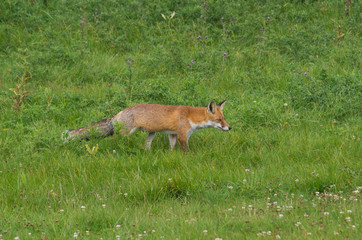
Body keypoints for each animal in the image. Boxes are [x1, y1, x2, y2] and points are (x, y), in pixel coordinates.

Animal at [62, 100, 230, 151]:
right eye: (219, 120)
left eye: (224, 119)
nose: (230, 128)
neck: (190, 117)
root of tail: (117, 114)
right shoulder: (182, 135)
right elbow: (186, 151)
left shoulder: (173, 134)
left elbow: (172, 147)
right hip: (126, 134)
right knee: (115, 142)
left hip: (151, 134)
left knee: (146, 145)